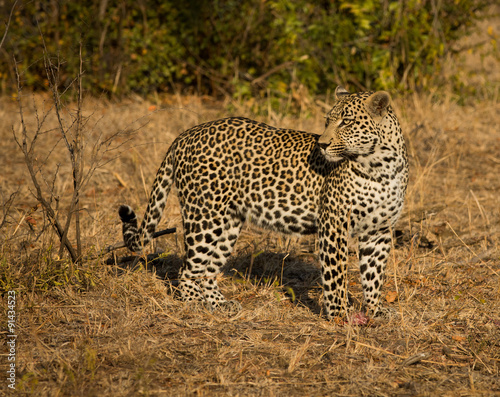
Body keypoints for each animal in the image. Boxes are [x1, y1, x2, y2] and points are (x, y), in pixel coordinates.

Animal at [119, 86, 408, 318]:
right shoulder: (334, 225)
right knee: (189, 271)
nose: (322, 144)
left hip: (227, 222)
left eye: (346, 122)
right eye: (328, 121)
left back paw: (220, 304)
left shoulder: (379, 231)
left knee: (208, 269)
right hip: (204, 215)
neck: (380, 166)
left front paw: (375, 310)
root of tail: (186, 134)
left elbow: (374, 274)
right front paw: (339, 314)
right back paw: (195, 303)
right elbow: (336, 274)